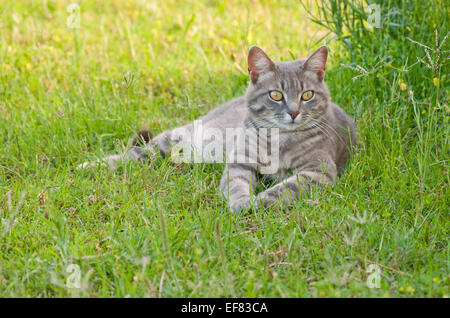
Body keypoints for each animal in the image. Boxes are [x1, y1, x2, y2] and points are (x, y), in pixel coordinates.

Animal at [80, 45, 356, 214]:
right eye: (276, 95)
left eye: (307, 95)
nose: (294, 112)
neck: (279, 140)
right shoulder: (240, 161)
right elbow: (236, 184)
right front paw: (241, 202)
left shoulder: (317, 171)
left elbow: (283, 189)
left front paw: (258, 201)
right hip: (181, 140)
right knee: (140, 152)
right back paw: (93, 165)